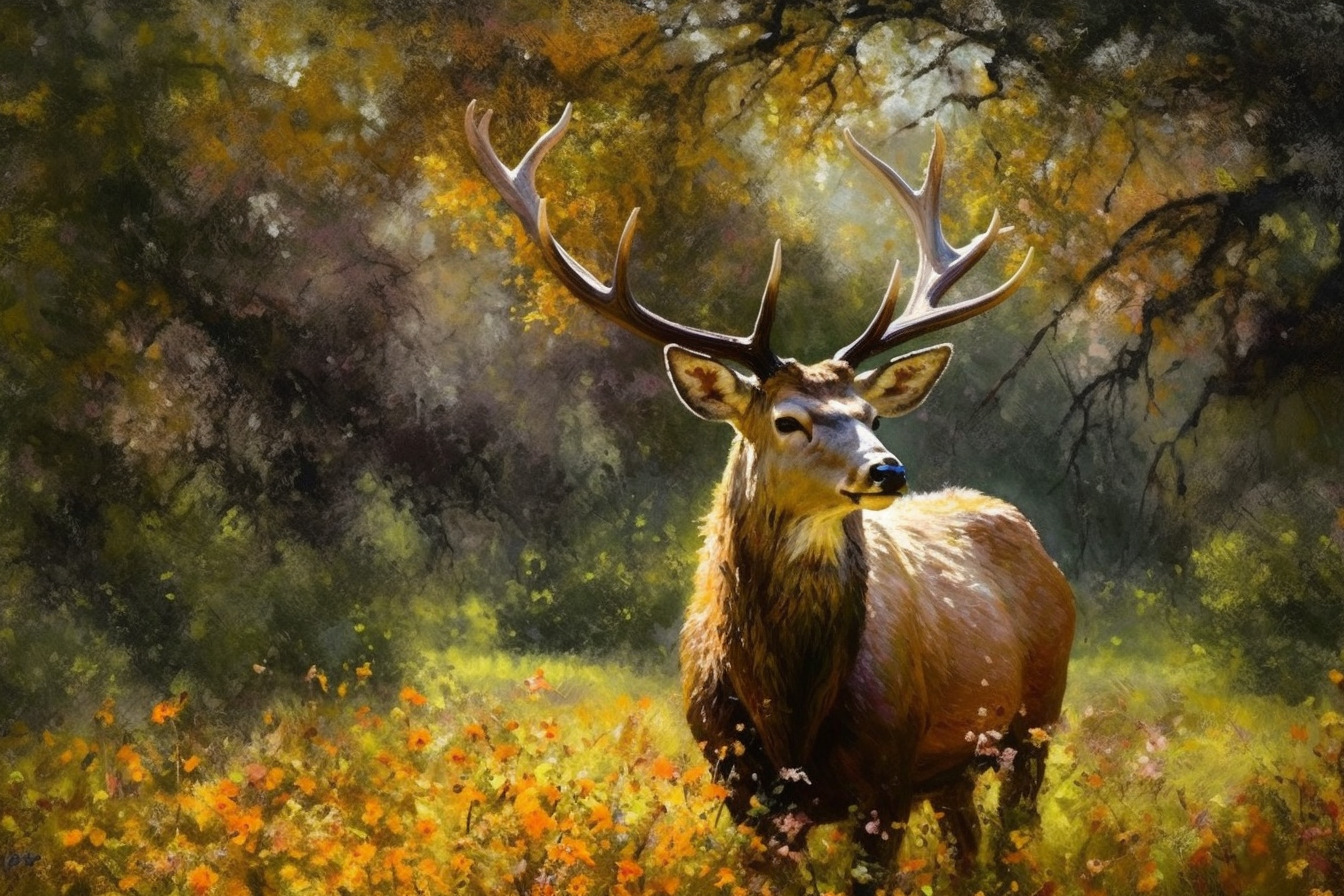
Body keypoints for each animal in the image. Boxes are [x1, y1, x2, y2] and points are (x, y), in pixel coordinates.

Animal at [465, 100, 1076, 885]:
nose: (888, 471)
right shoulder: (740, 787)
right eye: (788, 419)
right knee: (968, 850)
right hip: (956, 767)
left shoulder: (887, 776)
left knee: (1012, 839)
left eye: (872, 414)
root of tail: (1029, 535)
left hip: (1037, 720)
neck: (792, 713)